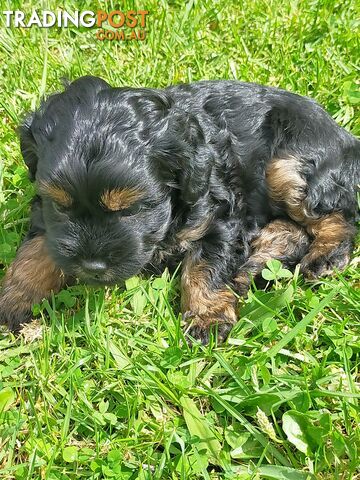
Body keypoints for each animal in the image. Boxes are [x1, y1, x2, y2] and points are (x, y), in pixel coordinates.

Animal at [0, 76, 360, 342]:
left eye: (132, 209)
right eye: (60, 205)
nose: (92, 266)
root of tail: (347, 138)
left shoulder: (219, 213)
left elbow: (205, 265)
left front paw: (206, 317)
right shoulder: (44, 214)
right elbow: (32, 253)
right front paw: (13, 301)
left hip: (288, 165)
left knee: (334, 216)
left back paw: (324, 257)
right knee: (294, 231)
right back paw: (253, 267)